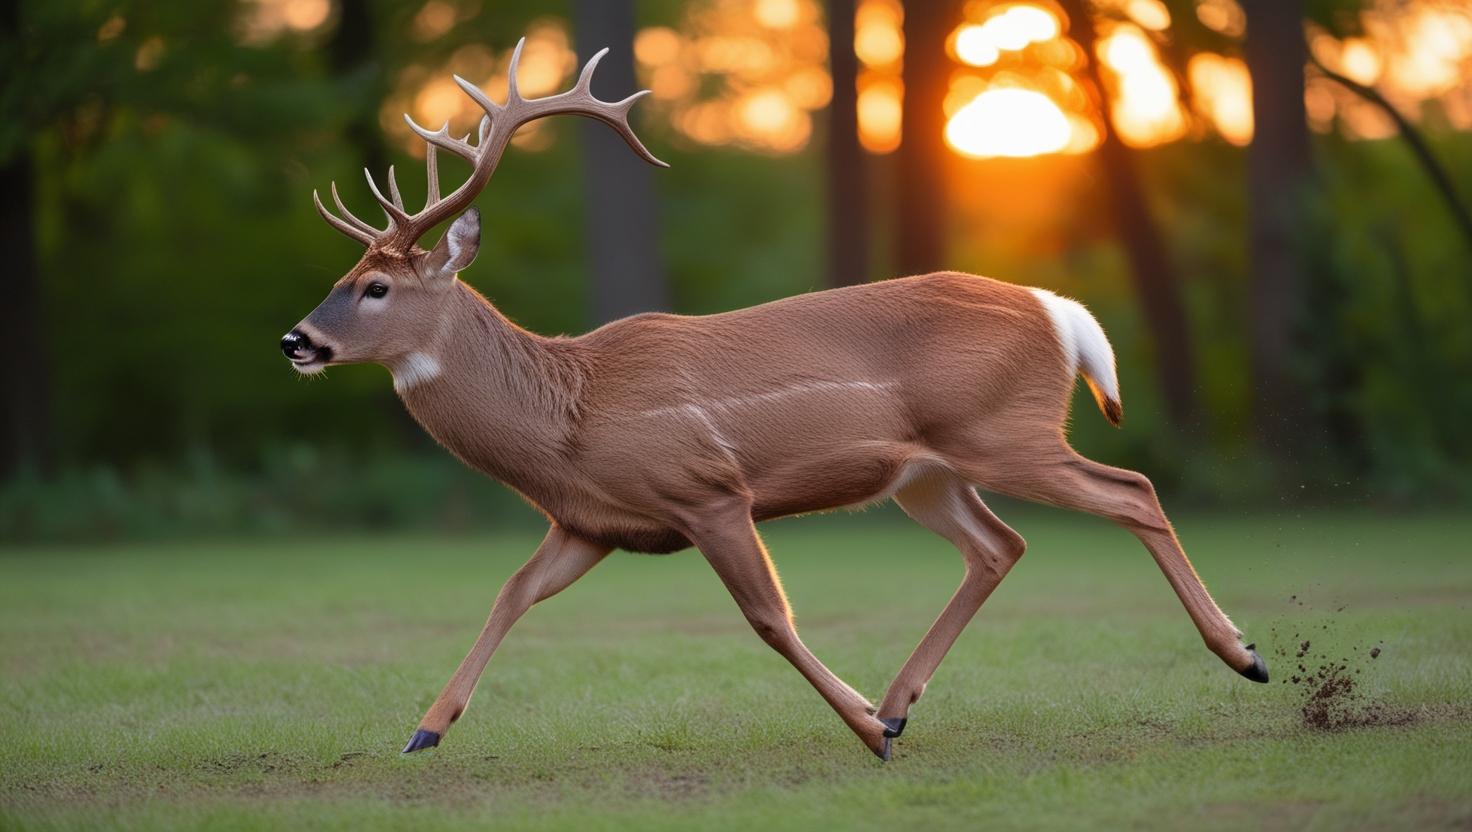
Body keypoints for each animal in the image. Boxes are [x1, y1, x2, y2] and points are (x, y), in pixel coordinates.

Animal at [281, 40, 1271, 765]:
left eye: (374, 287)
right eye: (342, 279)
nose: (298, 340)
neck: (567, 416)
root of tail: (1058, 311)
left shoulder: (707, 489)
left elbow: (769, 618)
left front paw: (864, 729)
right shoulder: (592, 522)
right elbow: (513, 591)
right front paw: (424, 729)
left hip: (1005, 431)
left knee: (1131, 489)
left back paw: (1246, 654)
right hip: (929, 473)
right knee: (1002, 546)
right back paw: (905, 702)